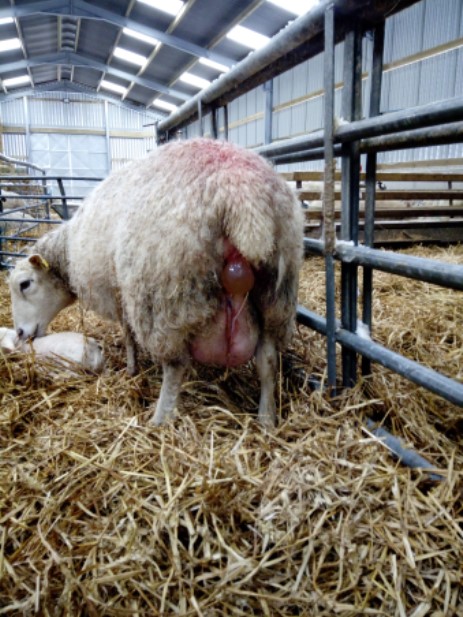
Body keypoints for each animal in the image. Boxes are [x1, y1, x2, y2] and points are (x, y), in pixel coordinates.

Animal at [9, 138, 306, 426]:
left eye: (25, 284)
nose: (21, 333)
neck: (68, 250)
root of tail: (241, 195)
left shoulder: (119, 292)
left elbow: (128, 335)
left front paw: (131, 368)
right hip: (276, 295)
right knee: (268, 360)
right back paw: (267, 420)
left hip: (166, 294)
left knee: (174, 366)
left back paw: (159, 419)